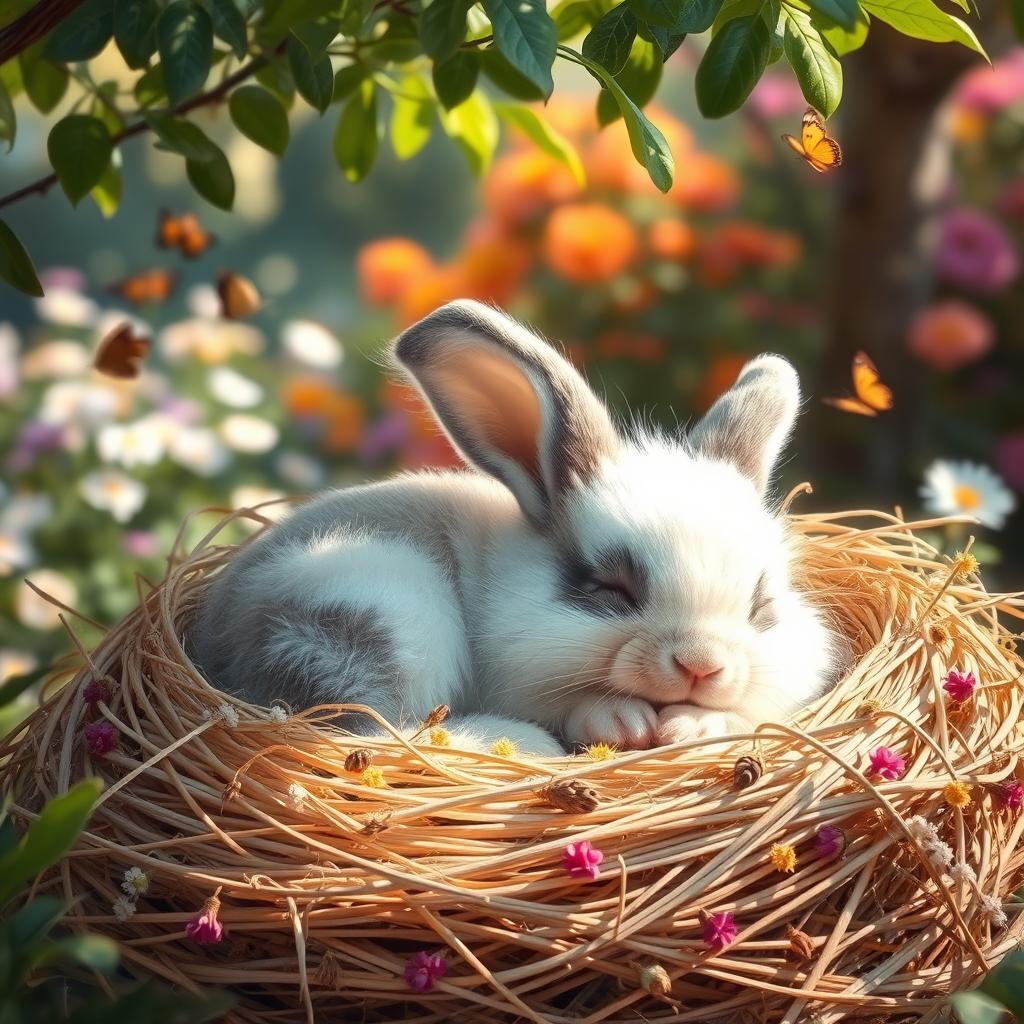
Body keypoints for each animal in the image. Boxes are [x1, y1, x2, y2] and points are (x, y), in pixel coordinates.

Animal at [187, 300, 840, 757]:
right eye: (609, 589)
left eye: (761, 606)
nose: (701, 664)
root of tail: (208, 647)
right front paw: (622, 722)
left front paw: (693, 725)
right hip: (382, 609)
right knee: (374, 732)